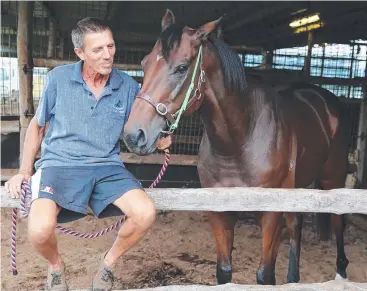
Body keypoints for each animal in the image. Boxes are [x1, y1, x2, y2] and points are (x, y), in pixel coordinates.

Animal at [122, 10, 350, 286]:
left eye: (182, 67)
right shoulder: (219, 212)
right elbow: (224, 271)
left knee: (338, 223)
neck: (238, 142)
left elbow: (265, 275)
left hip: (333, 180)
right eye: (144, 63)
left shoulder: (270, 213)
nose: (134, 135)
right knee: (296, 223)